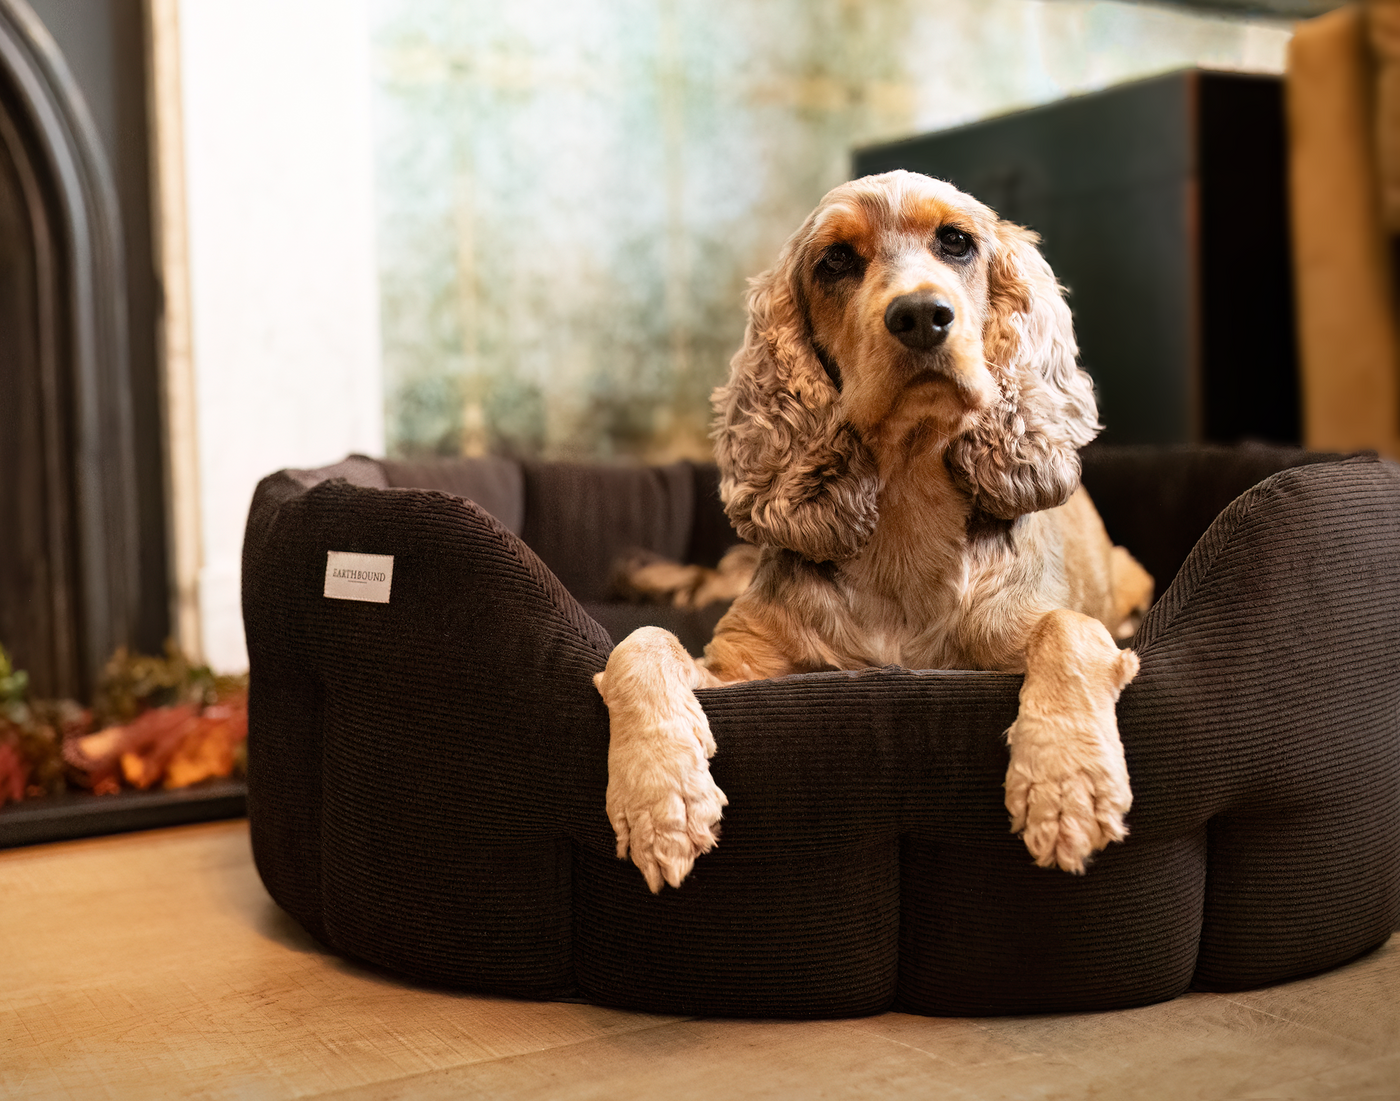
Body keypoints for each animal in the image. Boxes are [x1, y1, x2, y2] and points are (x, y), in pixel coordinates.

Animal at [596, 171, 1153, 890]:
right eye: (835, 261)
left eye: (957, 241)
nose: (920, 315)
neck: (906, 514)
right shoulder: (738, 667)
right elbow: (642, 642)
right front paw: (659, 797)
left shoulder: (1024, 627)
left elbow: (1072, 630)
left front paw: (1068, 784)